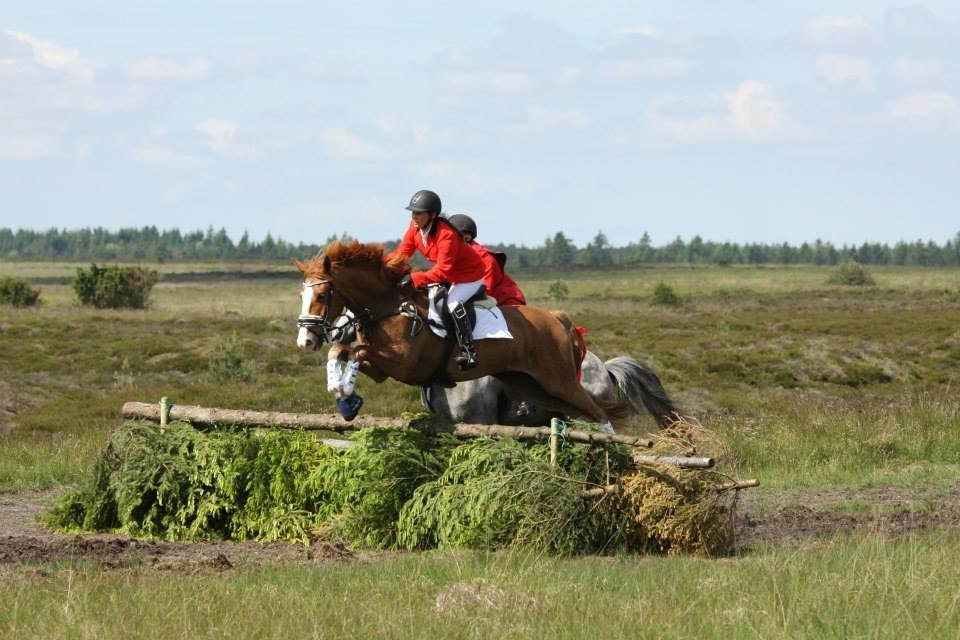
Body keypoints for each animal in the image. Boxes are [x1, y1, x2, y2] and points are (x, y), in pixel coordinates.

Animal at [292, 240, 612, 424]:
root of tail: (557, 319)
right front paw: (345, 397)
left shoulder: (402, 363)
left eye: (323, 294)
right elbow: (343, 352)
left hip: (559, 381)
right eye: (302, 294)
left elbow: (353, 352)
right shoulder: (382, 367)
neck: (390, 305)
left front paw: (344, 392)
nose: (305, 341)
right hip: (530, 387)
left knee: (599, 415)